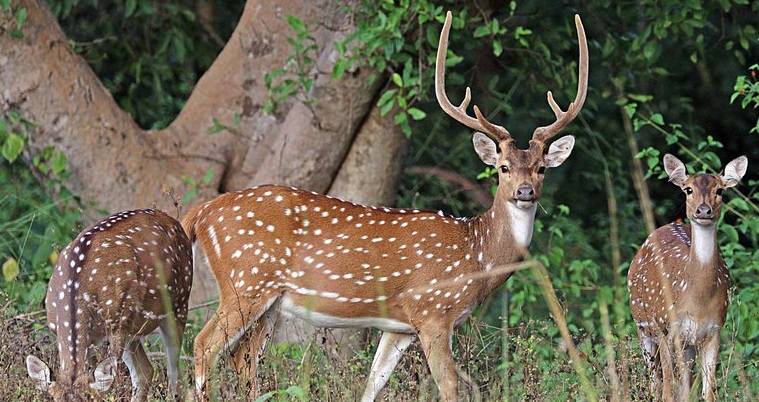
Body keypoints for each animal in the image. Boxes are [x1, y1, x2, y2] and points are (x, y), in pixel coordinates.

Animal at [25, 209, 194, 402]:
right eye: (51, 398)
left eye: (88, 400)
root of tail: (173, 220)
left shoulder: (116, 324)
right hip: (131, 328)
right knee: (145, 371)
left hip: (179, 302)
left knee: (175, 374)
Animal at [183, 11, 588, 400]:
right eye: (502, 168)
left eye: (541, 169)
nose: (525, 191)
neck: (476, 255)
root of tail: (201, 213)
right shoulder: (433, 311)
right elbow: (451, 387)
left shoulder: (400, 327)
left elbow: (372, 384)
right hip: (246, 281)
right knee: (204, 345)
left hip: (269, 301)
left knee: (242, 359)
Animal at [628, 152, 748, 400]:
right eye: (688, 189)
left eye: (720, 190)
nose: (703, 210)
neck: (698, 301)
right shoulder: (668, 327)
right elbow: (672, 390)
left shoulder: (714, 330)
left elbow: (706, 392)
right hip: (645, 325)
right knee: (657, 382)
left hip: (687, 343)